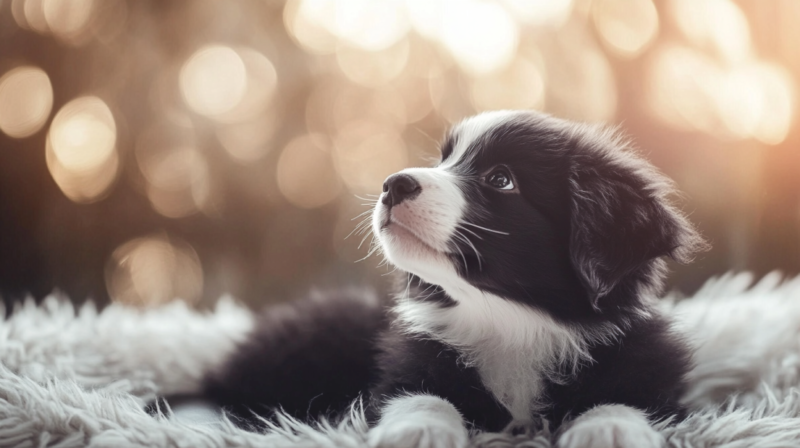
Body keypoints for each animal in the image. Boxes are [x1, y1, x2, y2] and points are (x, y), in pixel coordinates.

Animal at [205, 109, 708, 448]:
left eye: (501, 179)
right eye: (445, 160)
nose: (393, 184)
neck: (511, 322)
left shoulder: (648, 373)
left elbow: (625, 399)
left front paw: (608, 428)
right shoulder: (409, 364)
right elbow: (423, 394)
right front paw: (417, 431)